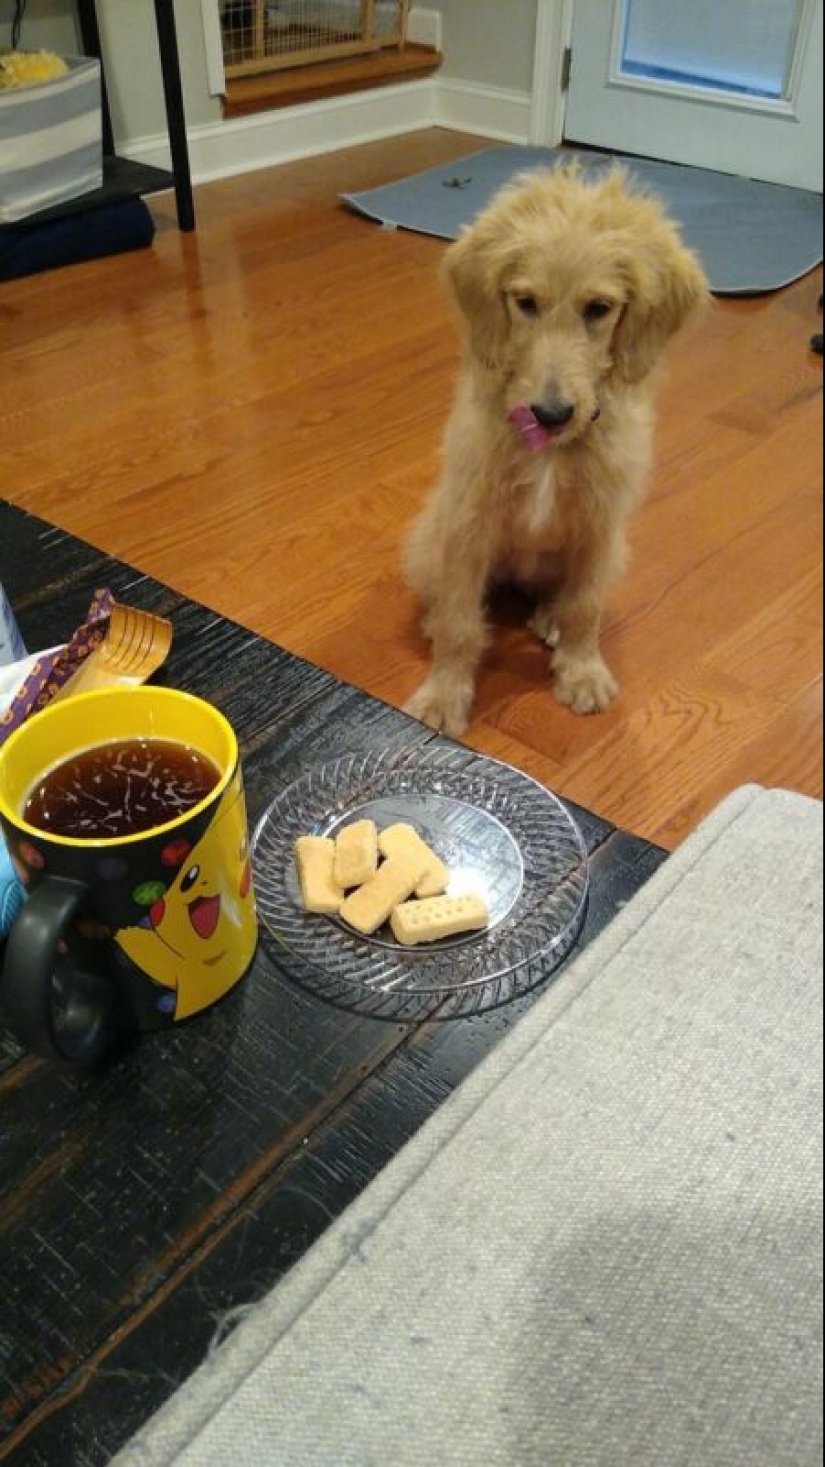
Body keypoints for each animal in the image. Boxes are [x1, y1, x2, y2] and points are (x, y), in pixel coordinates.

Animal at [402, 163, 704, 733]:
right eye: (526, 303)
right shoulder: (469, 524)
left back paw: (551, 620)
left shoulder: (599, 526)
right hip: (429, 539)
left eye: (599, 308)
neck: (549, 453)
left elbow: (585, 607)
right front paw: (443, 695)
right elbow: (460, 620)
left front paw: (581, 671)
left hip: (612, 553)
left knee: (560, 596)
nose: (551, 414)